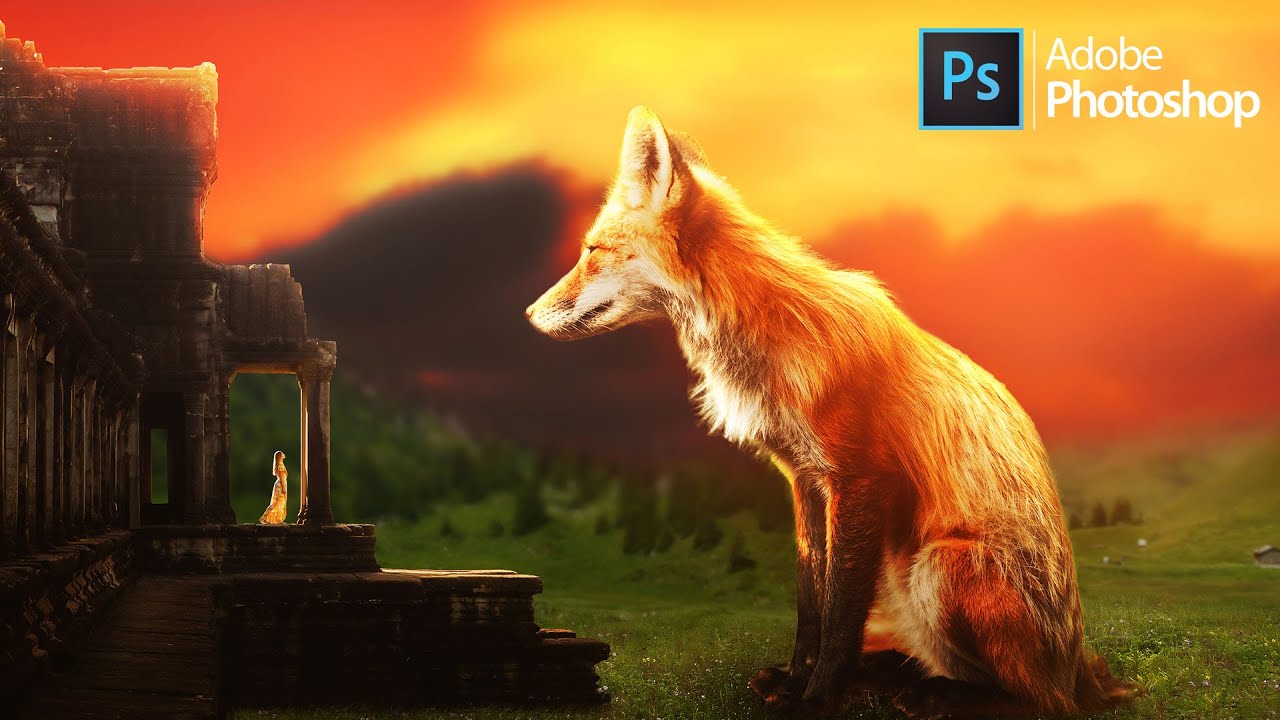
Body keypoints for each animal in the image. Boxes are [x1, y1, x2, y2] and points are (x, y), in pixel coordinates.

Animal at [525, 107, 1133, 718]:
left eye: (592, 252)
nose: (528, 314)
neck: (772, 337)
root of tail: (1081, 673)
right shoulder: (805, 479)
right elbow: (810, 602)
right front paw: (797, 679)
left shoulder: (860, 478)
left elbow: (840, 614)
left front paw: (815, 700)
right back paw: (897, 679)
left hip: (937, 567)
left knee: (1042, 702)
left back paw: (938, 695)